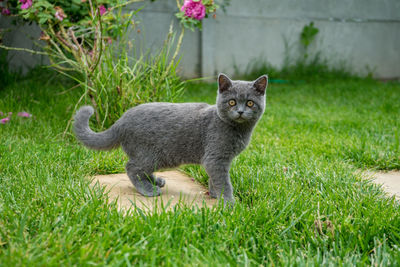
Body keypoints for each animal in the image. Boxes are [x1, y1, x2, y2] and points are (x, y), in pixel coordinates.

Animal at [75, 74, 268, 205]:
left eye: (250, 103)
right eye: (232, 102)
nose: (240, 111)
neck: (238, 129)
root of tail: (121, 120)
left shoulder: (219, 161)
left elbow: (215, 179)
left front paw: (214, 194)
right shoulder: (215, 158)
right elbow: (223, 181)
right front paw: (228, 201)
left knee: (140, 169)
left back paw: (156, 181)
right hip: (152, 154)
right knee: (131, 168)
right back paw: (148, 190)